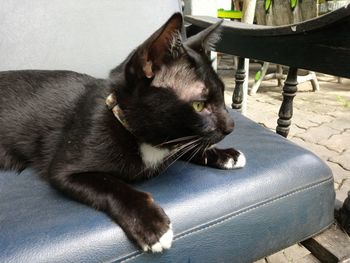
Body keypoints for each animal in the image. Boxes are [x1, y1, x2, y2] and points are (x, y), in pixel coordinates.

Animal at [0, 13, 245, 253]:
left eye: (222, 94)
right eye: (199, 105)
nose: (231, 126)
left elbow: (186, 147)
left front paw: (224, 155)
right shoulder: (64, 168)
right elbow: (111, 185)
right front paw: (151, 223)